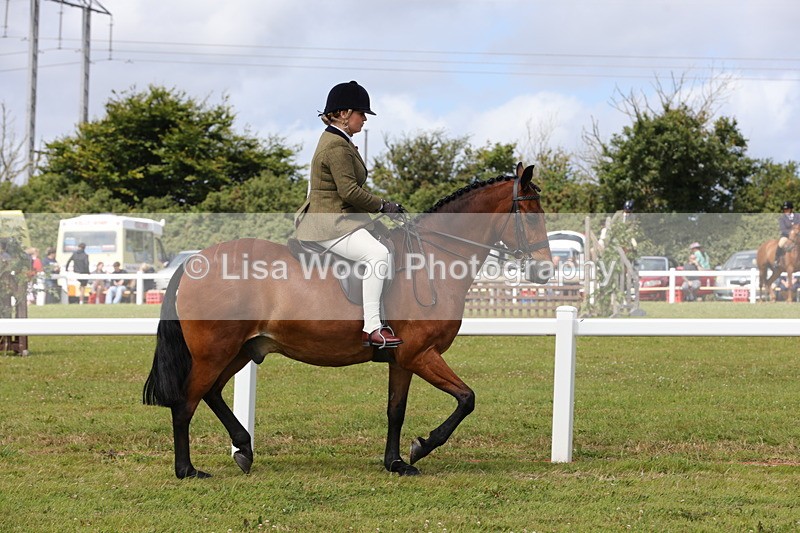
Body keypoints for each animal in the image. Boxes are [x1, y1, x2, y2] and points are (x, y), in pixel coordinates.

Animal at [143, 163, 552, 478]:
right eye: (531, 215)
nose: (545, 271)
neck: (433, 261)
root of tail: (195, 261)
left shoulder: (404, 359)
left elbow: (396, 411)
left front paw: (396, 462)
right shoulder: (421, 354)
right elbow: (467, 399)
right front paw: (421, 447)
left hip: (241, 349)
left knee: (210, 393)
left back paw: (243, 449)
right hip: (215, 351)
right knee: (186, 402)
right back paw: (187, 469)